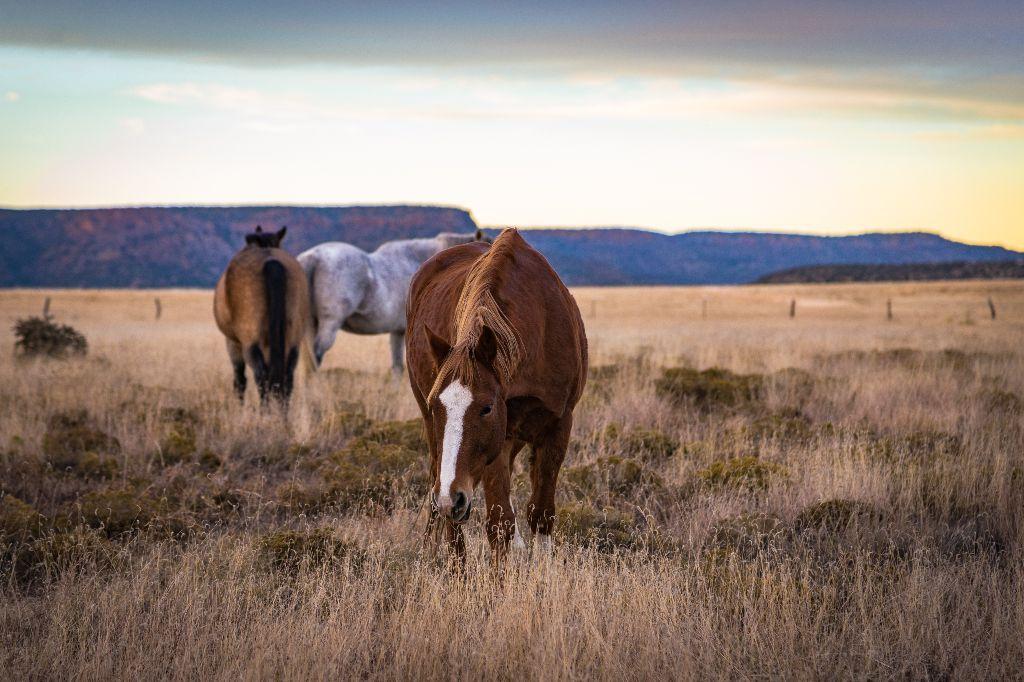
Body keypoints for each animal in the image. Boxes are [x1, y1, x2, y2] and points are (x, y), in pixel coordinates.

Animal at [214, 226, 312, 404]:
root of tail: (271, 262)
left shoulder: (232, 342)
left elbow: (240, 381)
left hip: (250, 343)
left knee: (261, 378)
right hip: (293, 343)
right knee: (286, 379)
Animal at [406, 228, 588, 564]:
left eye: (486, 408)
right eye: (436, 406)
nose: (452, 499)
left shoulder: (558, 423)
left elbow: (541, 512)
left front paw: (543, 565)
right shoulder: (497, 441)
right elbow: (499, 521)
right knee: (442, 497)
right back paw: (451, 563)